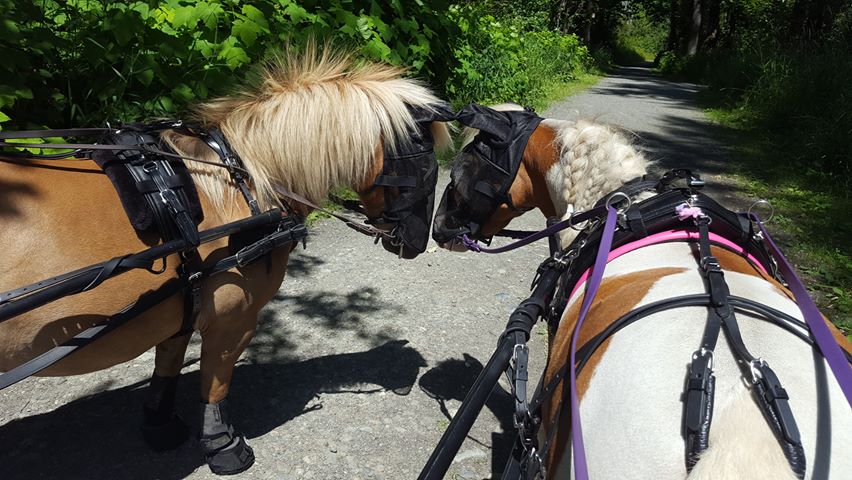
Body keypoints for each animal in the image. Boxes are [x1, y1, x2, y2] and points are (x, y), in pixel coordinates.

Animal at [0, 45, 450, 475]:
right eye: (427, 168)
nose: (417, 244)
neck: (245, 180)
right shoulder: (233, 318)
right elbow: (215, 383)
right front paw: (223, 446)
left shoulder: (182, 301)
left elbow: (168, 362)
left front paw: (161, 424)